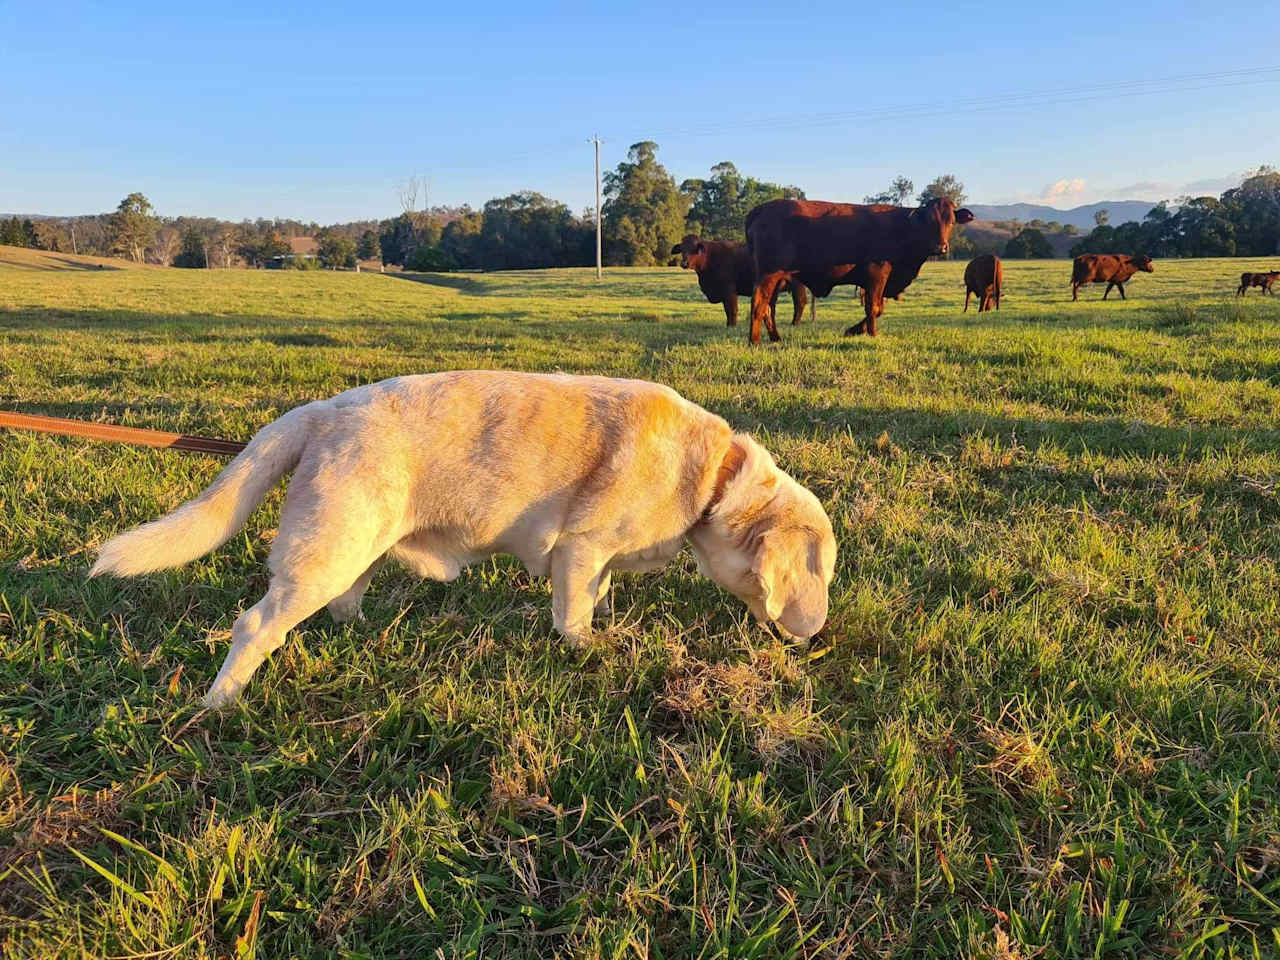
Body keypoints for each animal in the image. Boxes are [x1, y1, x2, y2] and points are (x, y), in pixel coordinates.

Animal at [97, 371, 839, 711]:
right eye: (824, 573)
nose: (815, 637)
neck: (715, 477)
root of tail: (318, 414)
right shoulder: (579, 551)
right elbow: (575, 617)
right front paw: (587, 653)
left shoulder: (596, 562)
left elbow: (597, 597)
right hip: (323, 555)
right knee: (255, 626)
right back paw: (219, 702)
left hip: (355, 548)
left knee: (343, 602)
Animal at [670, 238, 808, 330]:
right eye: (682, 249)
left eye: (695, 249)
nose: (684, 263)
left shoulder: (729, 289)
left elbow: (731, 309)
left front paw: (731, 326)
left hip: (797, 285)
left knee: (800, 302)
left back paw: (794, 323)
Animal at [747, 197, 972, 343]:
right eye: (929, 221)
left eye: (951, 221)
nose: (941, 247)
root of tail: (760, 209)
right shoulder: (877, 273)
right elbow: (873, 307)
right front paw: (872, 334)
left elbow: (879, 309)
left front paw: (853, 330)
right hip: (769, 273)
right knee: (759, 304)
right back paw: (754, 341)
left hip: (777, 278)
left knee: (768, 307)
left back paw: (775, 338)